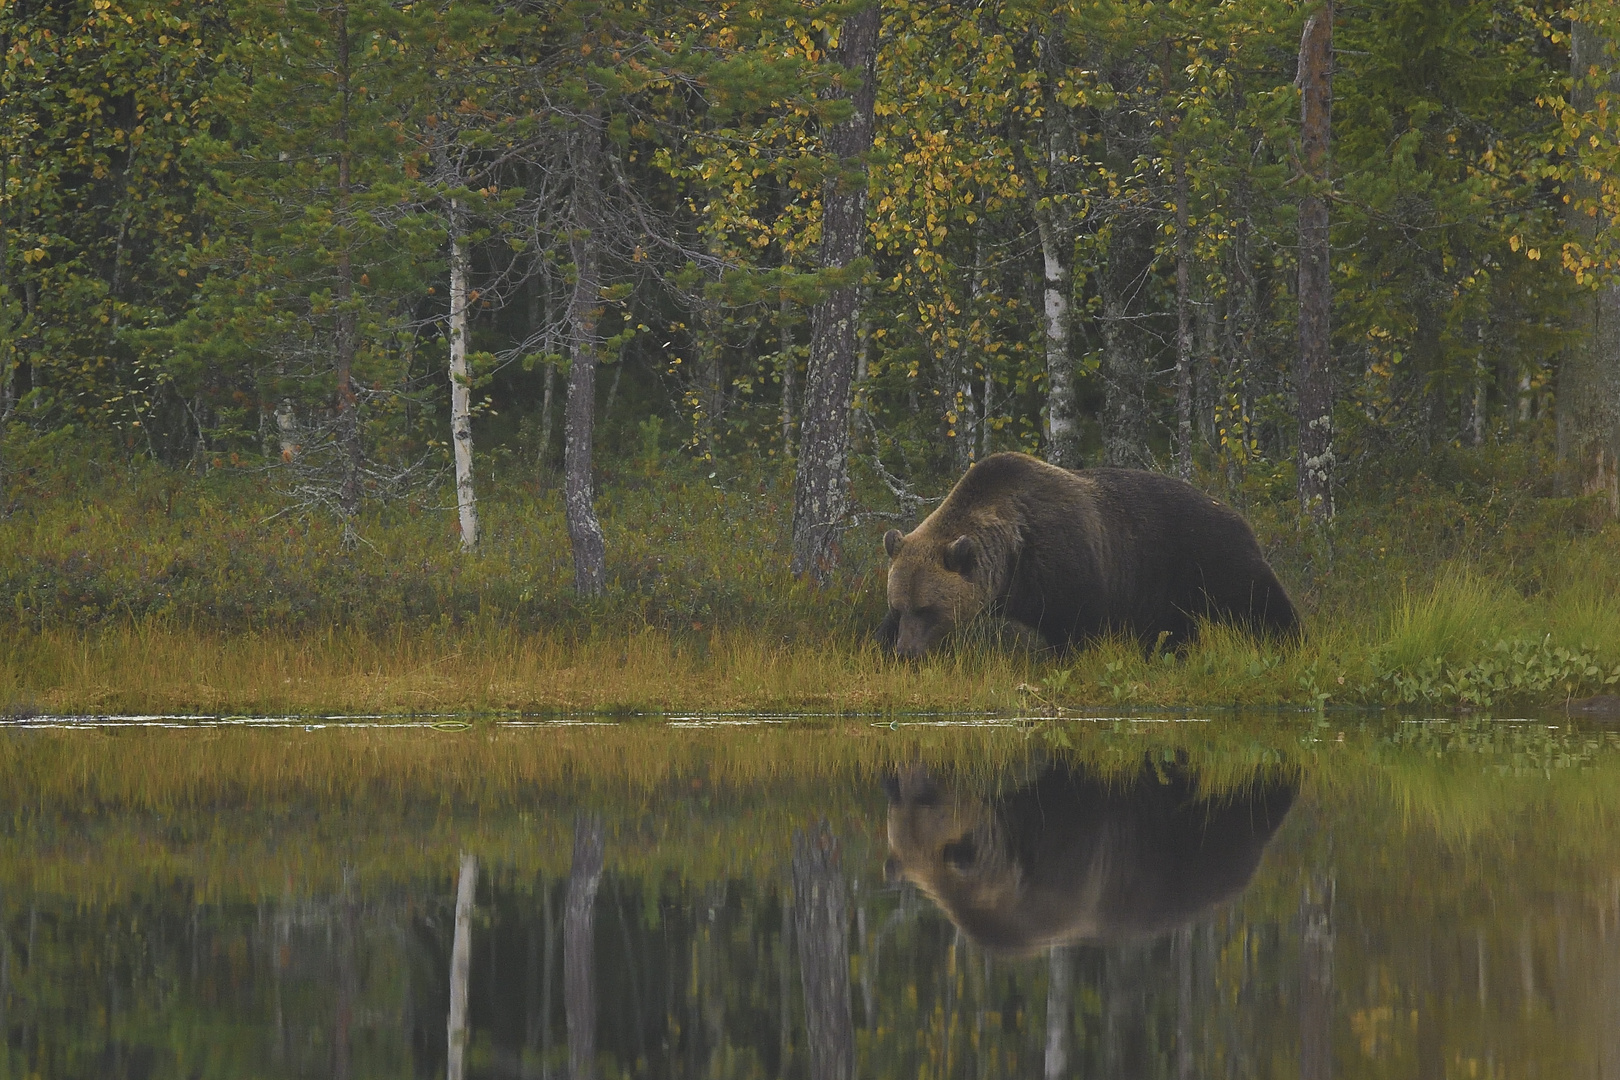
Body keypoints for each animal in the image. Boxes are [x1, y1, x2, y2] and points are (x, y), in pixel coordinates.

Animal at [881, 450, 1296, 660]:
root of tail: (1239, 514)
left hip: (1209, 557)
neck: (1012, 556)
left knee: (1262, 602)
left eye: (928, 608)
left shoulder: (1065, 565)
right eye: (901, 606)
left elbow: (1077, 629)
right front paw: (883, 643)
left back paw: (1290, 640)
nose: (907, 652)